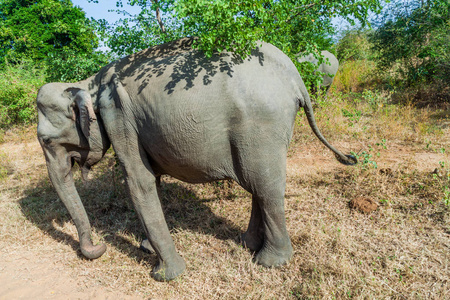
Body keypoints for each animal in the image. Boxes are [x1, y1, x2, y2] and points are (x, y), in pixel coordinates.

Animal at [37, 37, 356, 282]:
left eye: (47, 141)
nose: (99, 248)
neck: (87, 83)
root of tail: (293, 75)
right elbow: (152, 180)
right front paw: (146, 248)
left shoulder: (119, 116)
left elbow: (138, 182)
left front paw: (165, 275)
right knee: (258, 183)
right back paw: (247, 244)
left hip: (262, 122)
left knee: (265, 186)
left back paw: (269, 262)